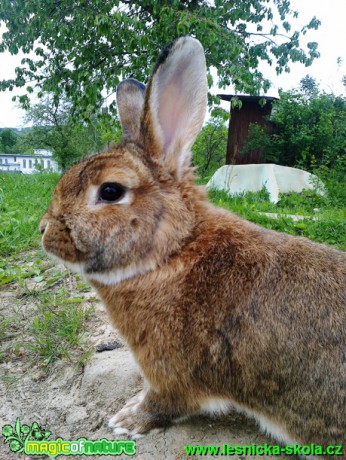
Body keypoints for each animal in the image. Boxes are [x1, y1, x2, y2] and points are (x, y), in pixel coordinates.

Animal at [41, 36, 346, 456]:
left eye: (111, 191)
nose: (43, 231)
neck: (172, 252)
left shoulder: (171, 373)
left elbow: (164, 403)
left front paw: (126, 421)